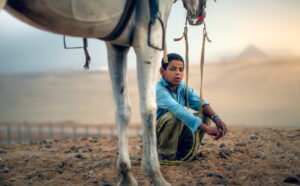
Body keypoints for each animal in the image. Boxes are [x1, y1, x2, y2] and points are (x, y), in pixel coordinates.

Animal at [0, 0, 209, 185]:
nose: (196, 14)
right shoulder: (150, 35)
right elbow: (148, 109)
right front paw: (155, 175)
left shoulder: (116, 44)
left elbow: (122, 110)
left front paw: (126, 175)